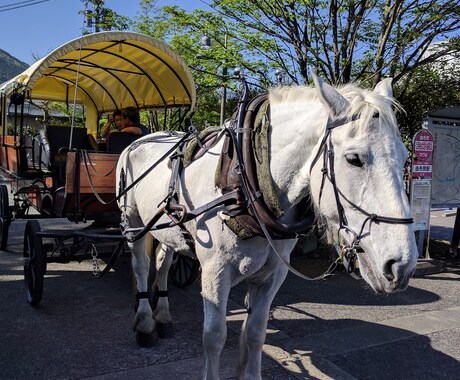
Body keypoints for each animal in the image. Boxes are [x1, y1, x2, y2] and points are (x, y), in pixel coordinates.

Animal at [115, 72, 416, 378]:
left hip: (167, 227)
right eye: (354, 159)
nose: (401, 266)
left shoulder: (272, 274)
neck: (248, 182)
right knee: (141, 265)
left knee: (163, 261)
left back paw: (163, 315)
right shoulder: (215, 271)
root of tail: (146, 138)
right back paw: (146, 322)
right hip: (133, 222)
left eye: (406, 157)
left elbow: (255, 333)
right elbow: (214, 336)